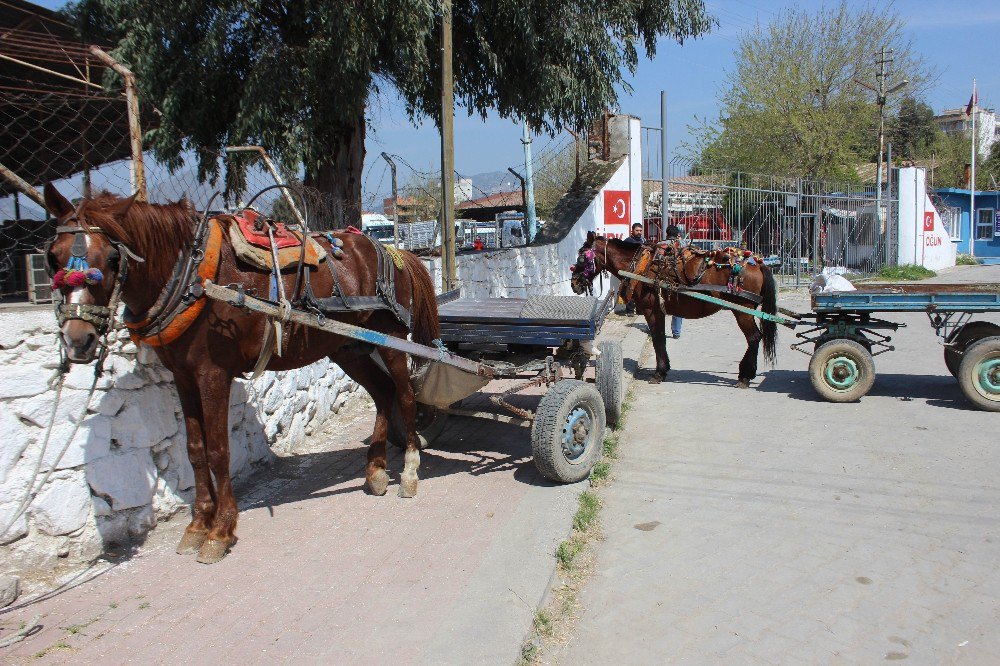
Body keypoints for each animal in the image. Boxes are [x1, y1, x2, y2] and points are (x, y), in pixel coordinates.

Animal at [42, 184, 442, 564]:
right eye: (53, 258)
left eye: (112, 258)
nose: (78, 339)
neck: (192, 274)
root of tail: (394, 251)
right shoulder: (182, 377)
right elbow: (195, 450)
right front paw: (197, 525)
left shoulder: (212, 374)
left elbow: (219, 451)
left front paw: (219, 531)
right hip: (348, 347)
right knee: (383, 392)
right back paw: (375, 470)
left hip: (391, 338)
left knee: (406, 395)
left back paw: (409, 469)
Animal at [576, 232, 776, 386]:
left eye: (581, 257)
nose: (574, 283)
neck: (642, 264)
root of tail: (757, 262)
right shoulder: (659, 311)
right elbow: (660, 339)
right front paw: (663, 370)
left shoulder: (651, 310)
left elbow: (657, 338)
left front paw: (659, 372)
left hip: (742, 311)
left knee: (754, 338)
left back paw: (745, 376)